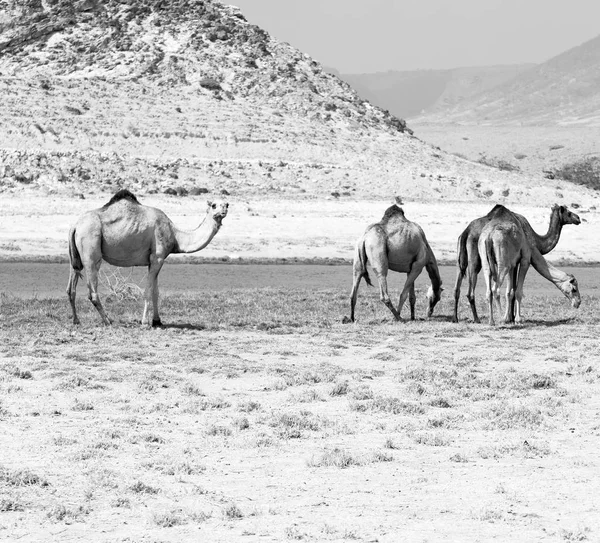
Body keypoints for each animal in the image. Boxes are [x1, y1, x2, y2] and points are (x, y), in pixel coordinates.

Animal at [67, 190, 229, 328]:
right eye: (214, 205)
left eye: (226, 204)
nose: (224, 211)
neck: (176, 235)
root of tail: (75, 226)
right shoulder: (158, 257)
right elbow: (148, 291)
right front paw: (145, 322)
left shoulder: (154, 261)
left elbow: (156, 292)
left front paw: (157, 321)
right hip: (90, 248)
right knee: (92, 292)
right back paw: (108, 321)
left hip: (76, 257)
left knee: (71, 288)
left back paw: (76, 320)